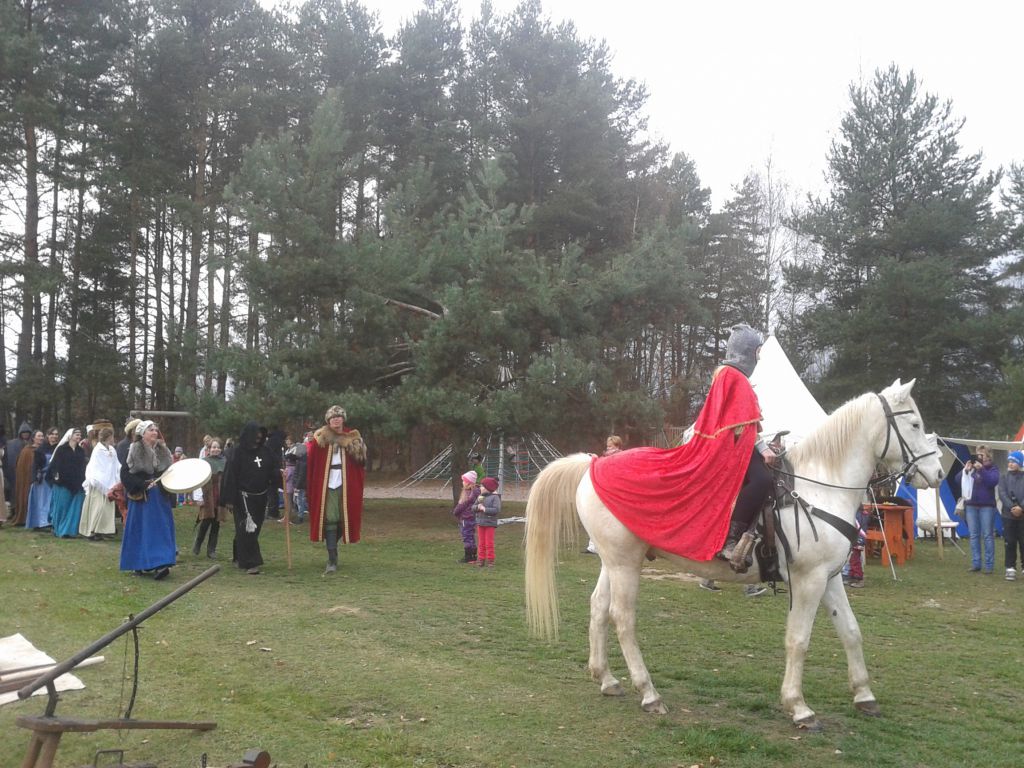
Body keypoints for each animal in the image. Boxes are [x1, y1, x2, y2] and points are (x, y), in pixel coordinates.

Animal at [524, 379, 944, 730]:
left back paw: (607, 679)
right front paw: (799, 707)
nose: (938, 473)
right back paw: (649, 693)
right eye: (915, 424)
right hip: (625, 564)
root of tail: (594, 465)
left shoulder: (828, 578)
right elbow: (798, 639)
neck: (821, 488)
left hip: (614, 561)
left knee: (598, 608)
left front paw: (864, 696)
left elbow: (852, 632)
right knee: (622, 619)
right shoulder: (807, 581)